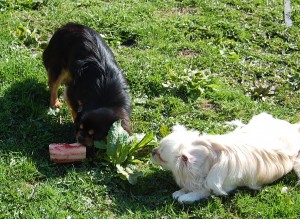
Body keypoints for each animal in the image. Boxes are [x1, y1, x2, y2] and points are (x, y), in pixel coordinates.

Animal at [151, 113, 300, 204]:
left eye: (161, 156)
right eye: (157, 147)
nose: (153, 151)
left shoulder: (222, 186)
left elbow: (203, 190)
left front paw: (186, 195)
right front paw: (181, 191)